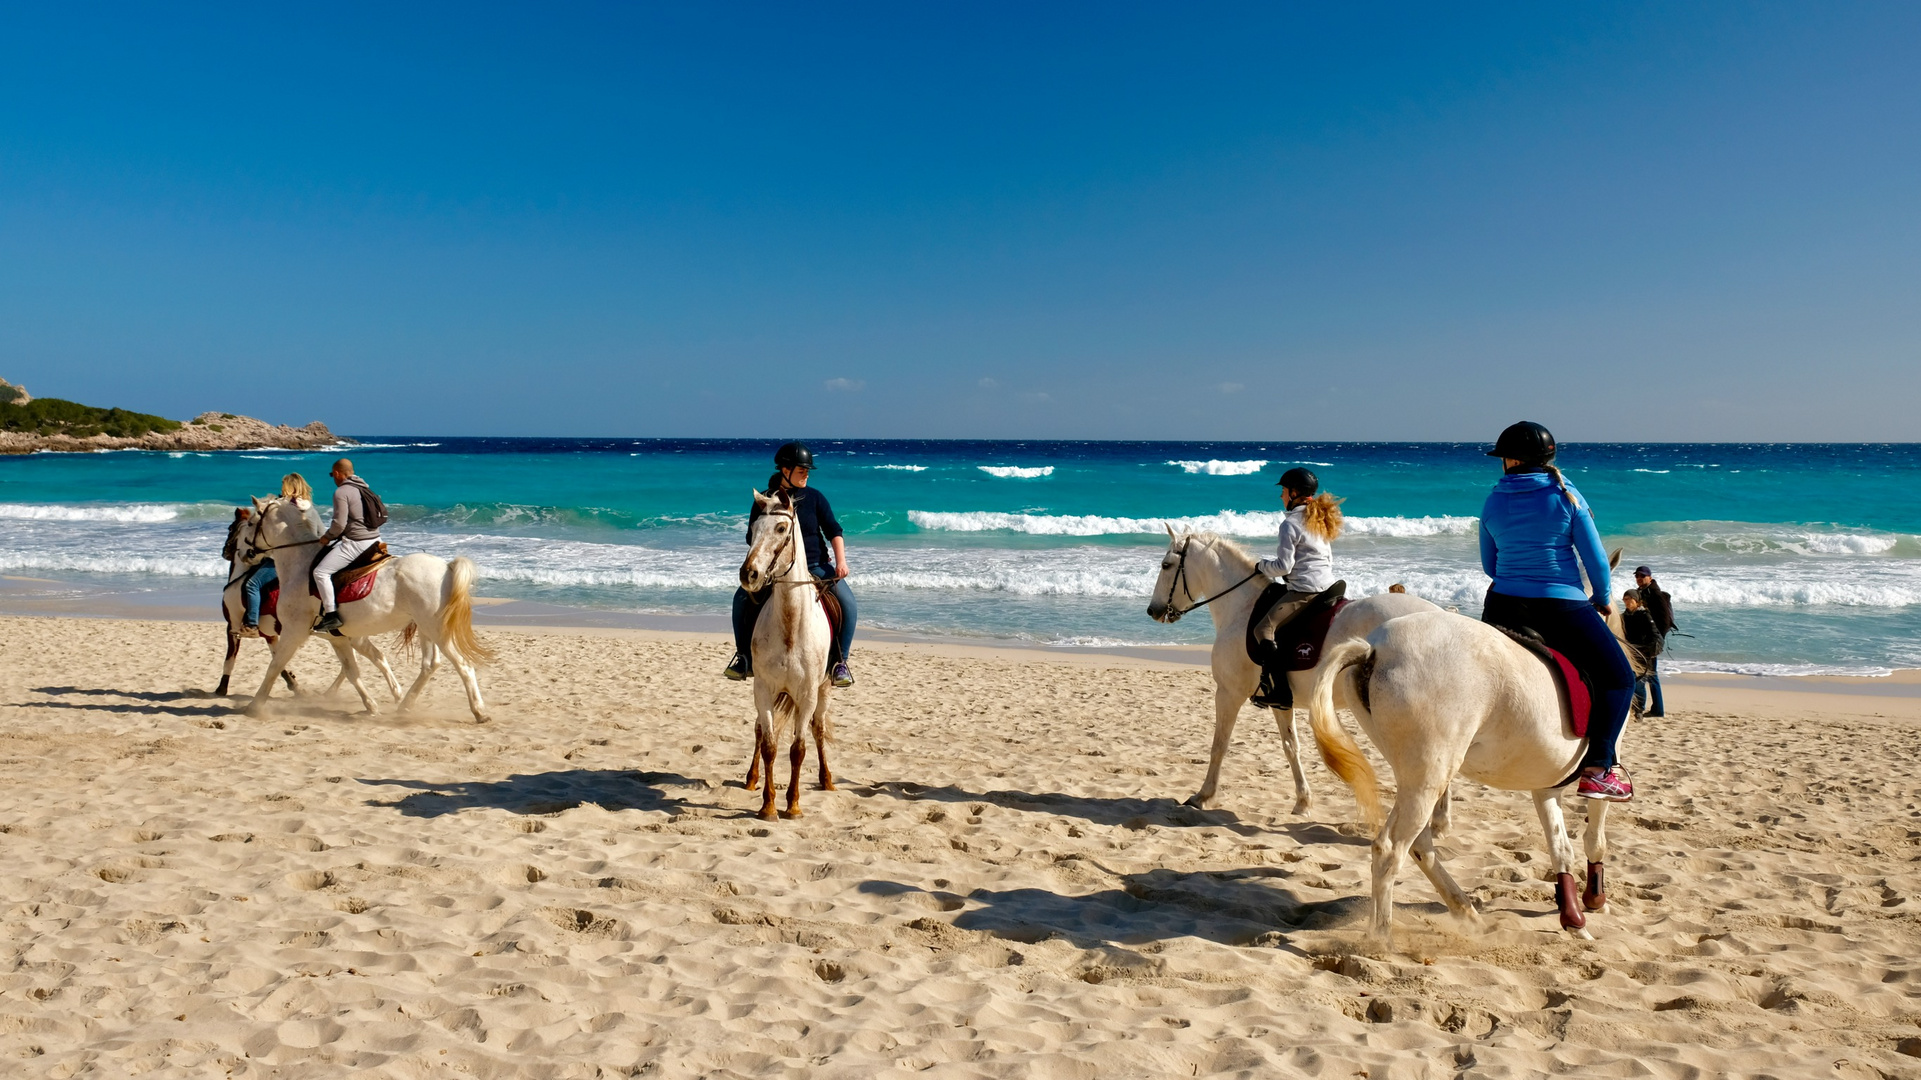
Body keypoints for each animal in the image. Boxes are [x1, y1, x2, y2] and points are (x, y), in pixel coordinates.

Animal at [243, 491, 495, 718]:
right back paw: (405, 705)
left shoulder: (294, 632)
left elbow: (275, 666)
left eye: (251, 523)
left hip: (437, 630)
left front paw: (255, 706)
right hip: (425, 629)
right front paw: (371, 706)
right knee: (430, 664)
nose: (245, 553)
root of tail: (446, 567)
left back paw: (480, 711)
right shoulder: (339, 638)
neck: (302, 565)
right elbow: (352, 671)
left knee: (463, 665)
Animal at [737, 486, 837, 814]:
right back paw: (751, 778)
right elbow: (769, 744)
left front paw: (792, 805)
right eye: (753, 528)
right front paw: (768, 806)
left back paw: (827, 779)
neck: (791, 626)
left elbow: (798, 749)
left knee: (818, 729)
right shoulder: (763, 689)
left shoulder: (806, 694)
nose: (749, 574)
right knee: (759, 729)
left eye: (781, 528)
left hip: (824, 689)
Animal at [1137, 526, 1444, 810]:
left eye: (1166, 565)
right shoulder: (1281, 701)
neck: (1243, 609)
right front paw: (1303, 801)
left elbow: (1219, 745)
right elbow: (1291, 747)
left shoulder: (1228, 694)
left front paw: (1203, 796)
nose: (1153, 611)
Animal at [1306, 549, 1652, 945]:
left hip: (1418, 776)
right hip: (1429, 774)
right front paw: (1595, 901)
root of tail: (1373, 649)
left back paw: (1464, 910)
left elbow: (1560, 848)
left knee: (1420, 846)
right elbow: (1595, 840)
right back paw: (1382, 938)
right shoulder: (1599, 772)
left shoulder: (1545, 787)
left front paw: (1573, 917)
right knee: (1391, 849)